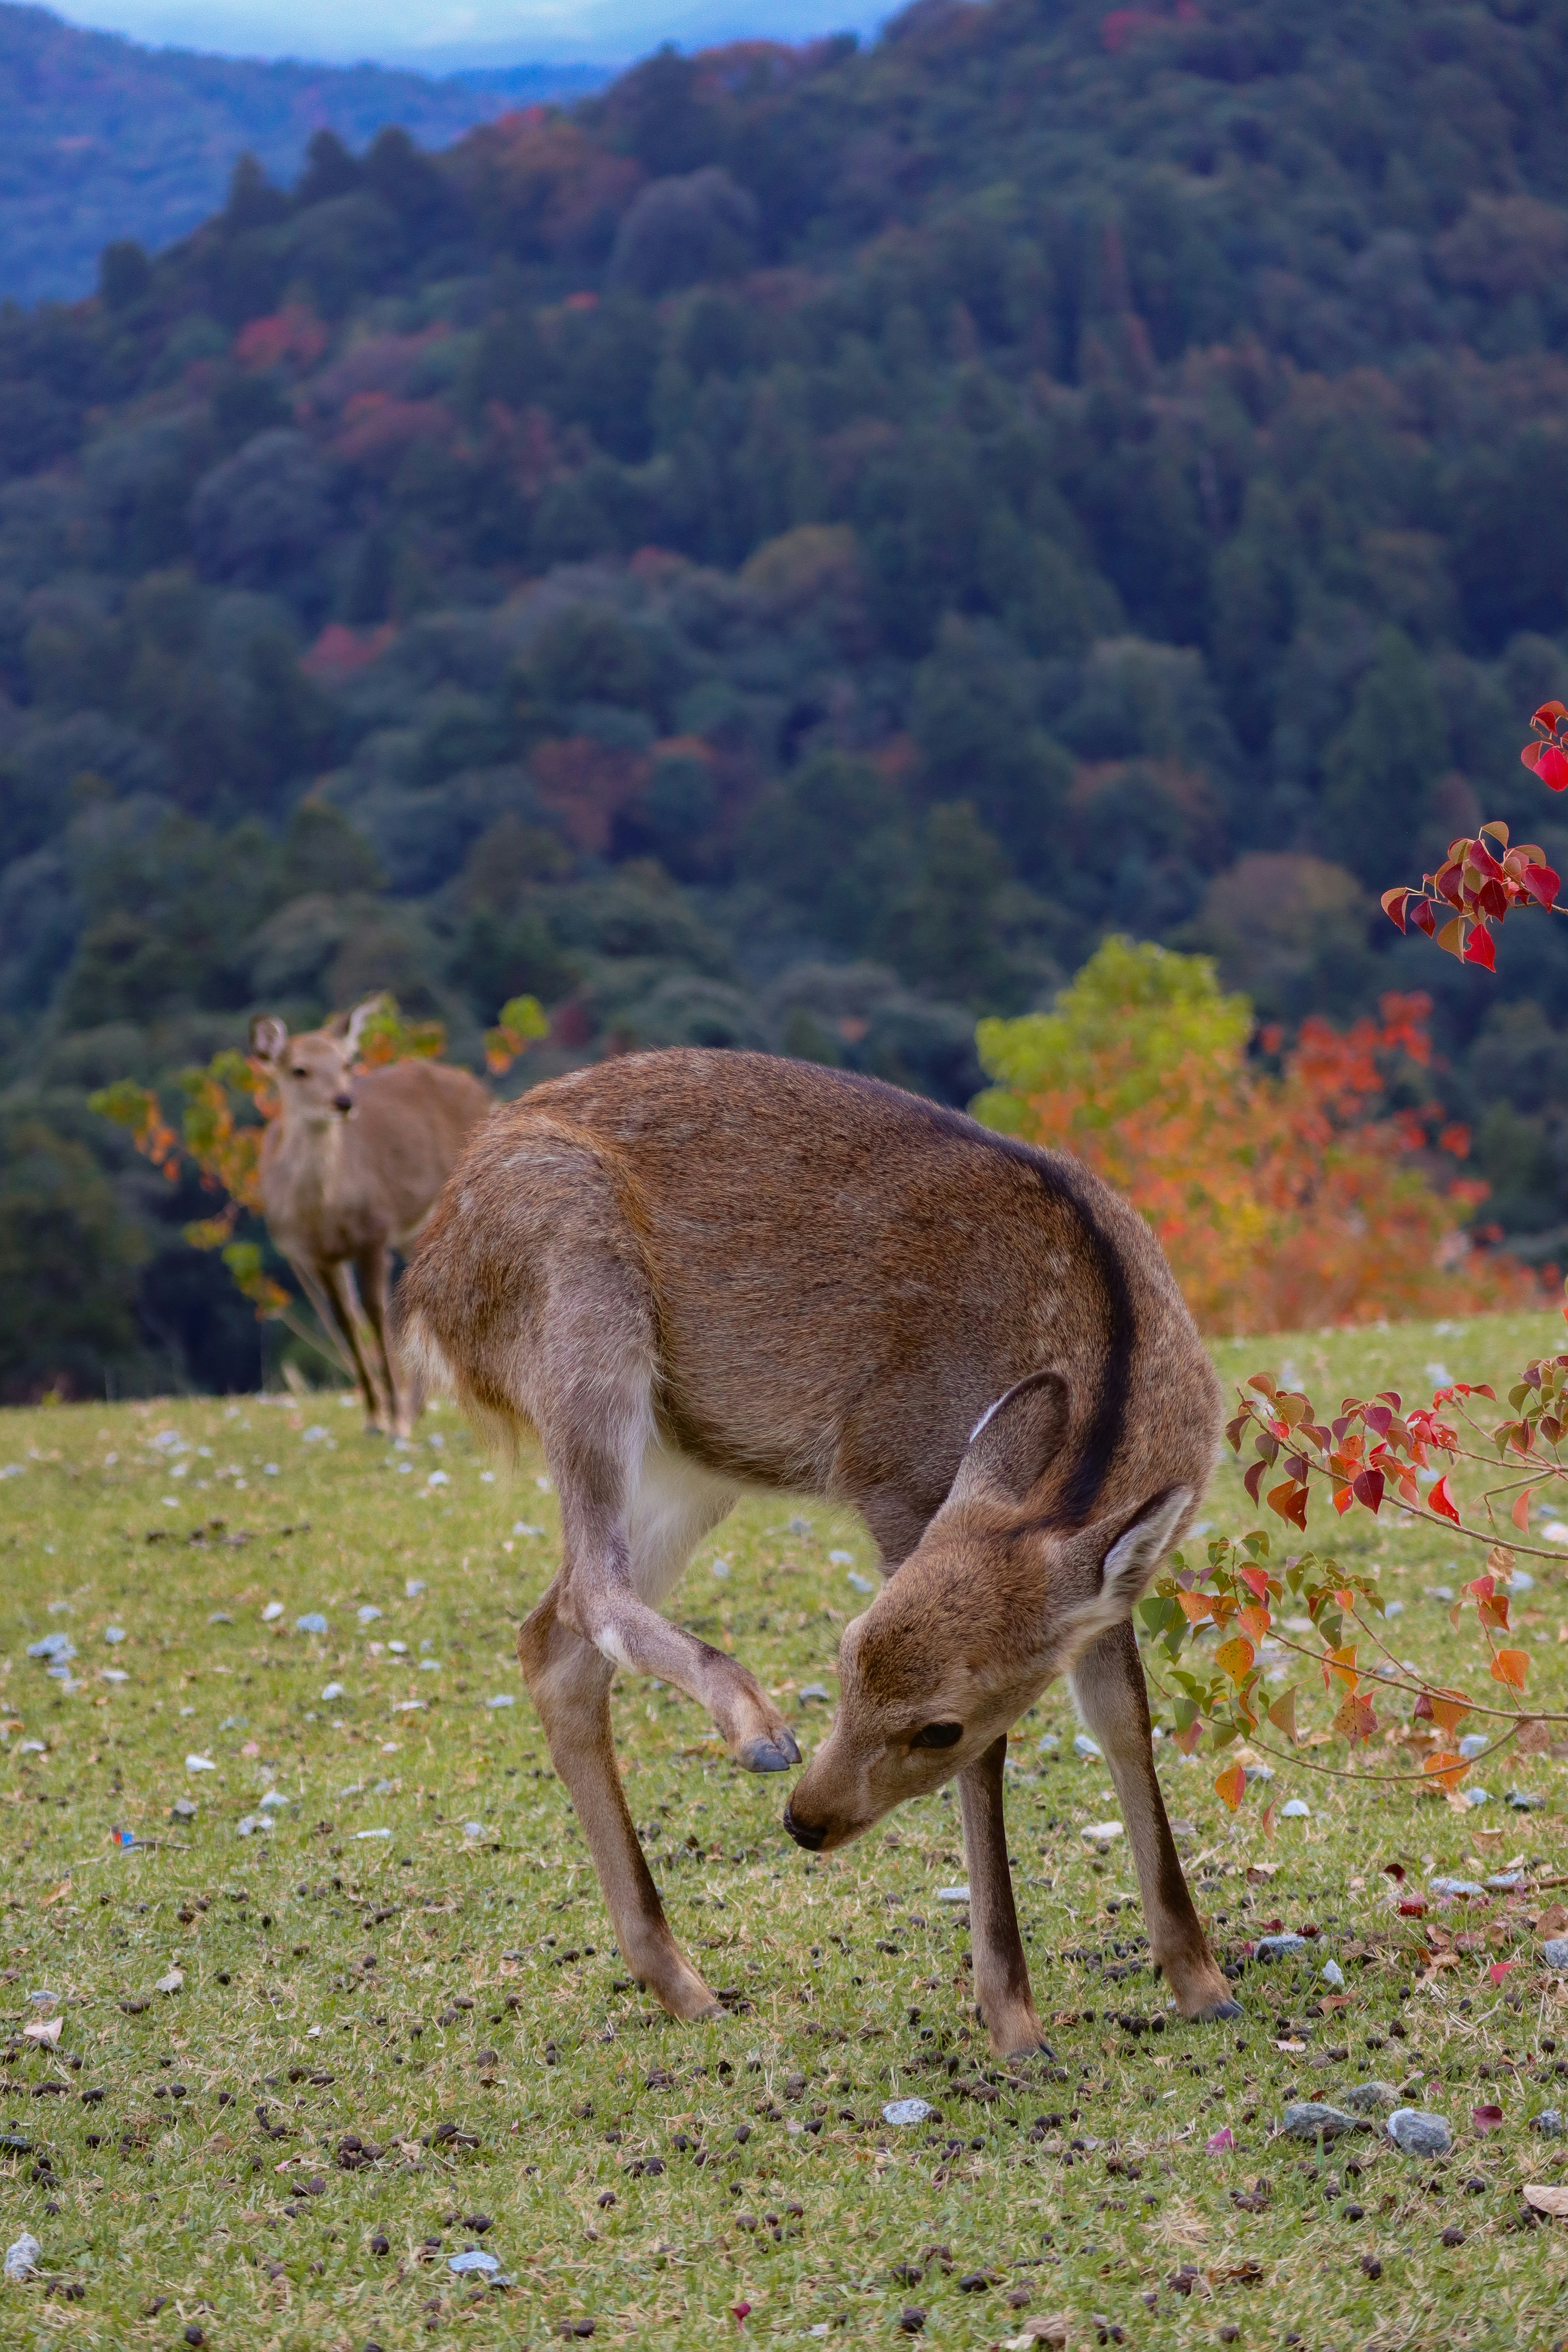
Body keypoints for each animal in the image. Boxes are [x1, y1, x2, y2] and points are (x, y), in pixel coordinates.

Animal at [248, 997, 493, 1440]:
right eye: (299, 1069)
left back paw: (415, 1408)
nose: (344, 1101)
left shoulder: (374, 1231)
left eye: (347, 1062)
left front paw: (395, 1419)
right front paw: (374, 1416)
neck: (324, 1214)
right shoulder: (317, 1255)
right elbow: (347, 1322)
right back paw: (418, 1406)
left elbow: (377, 1316)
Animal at [399, 1048, 1238, 2056]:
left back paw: (682, 1981)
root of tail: (426, 1282)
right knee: (585, 1591)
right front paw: (1013, 2019)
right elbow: (998, 1760)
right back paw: (754, 1730)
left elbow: (1122, 1717)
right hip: (579, 1310)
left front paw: (1202, 1981)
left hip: (693, 1460)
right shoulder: (893, 1481)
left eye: (935, 1725)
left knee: (552, 1636)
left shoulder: (1107, 1583)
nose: (804, 1820)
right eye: (841, 1658)